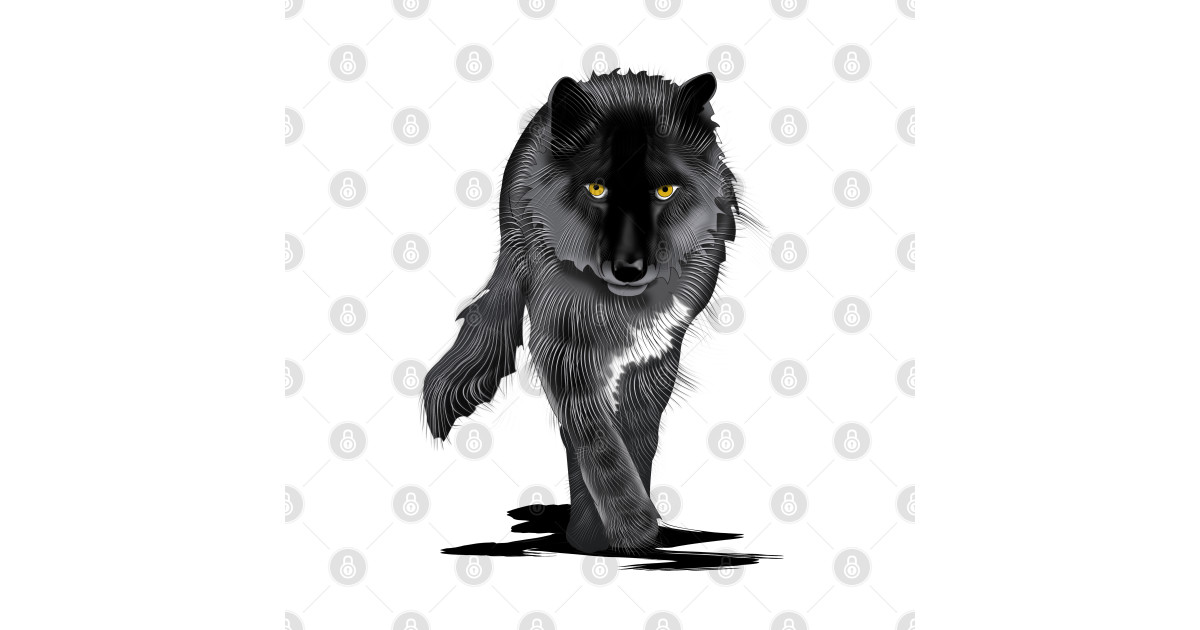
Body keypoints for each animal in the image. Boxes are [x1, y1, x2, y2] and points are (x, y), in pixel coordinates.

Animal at [422, 70, 749, 552]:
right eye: (597, 188)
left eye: (664, 190)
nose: (629, 268)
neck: (622, 308)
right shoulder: (562, 349)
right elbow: (597, 444)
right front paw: (617, 533)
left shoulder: (655, 355)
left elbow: (637, 439)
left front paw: (623, 536)